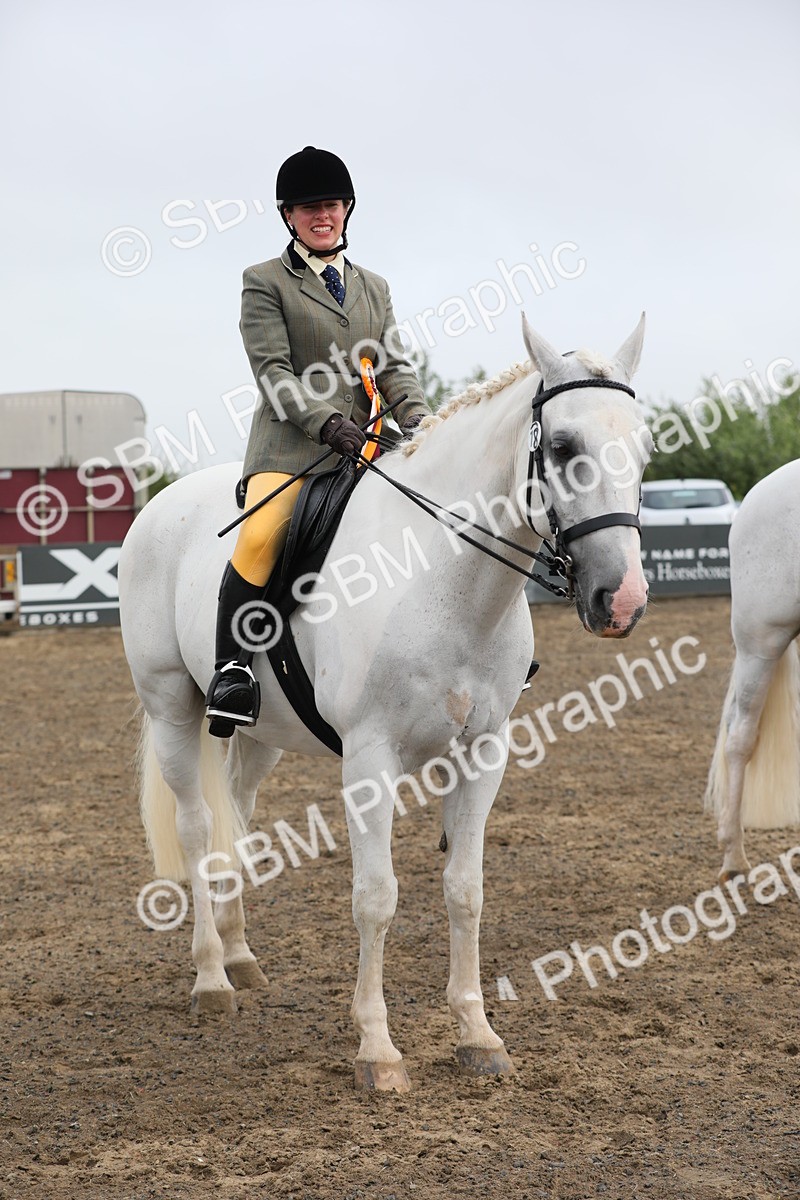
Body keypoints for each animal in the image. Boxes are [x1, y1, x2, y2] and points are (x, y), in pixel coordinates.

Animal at [119, 314, 651, 1092]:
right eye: (561, 446)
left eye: (644, 447)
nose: (623, 600)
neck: (442, 577)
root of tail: (160, 505)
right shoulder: (371, 760)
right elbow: (376, 896)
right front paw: (377, 1049)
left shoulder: (484, 751)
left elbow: (465, 889)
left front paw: (478, 1035)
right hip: (171, 708)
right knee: (194, 827)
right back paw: (212, 979)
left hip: (259, 733)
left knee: (235, 817)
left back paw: (241, 957)